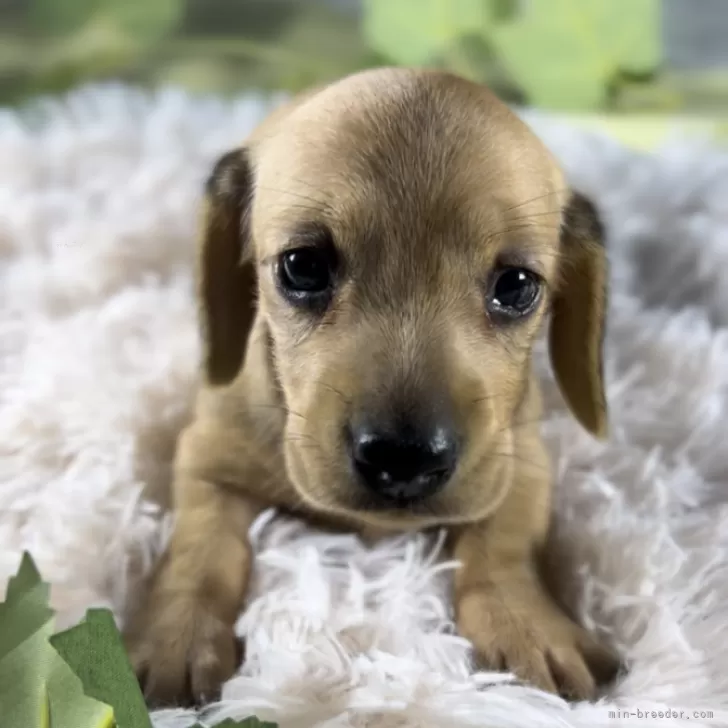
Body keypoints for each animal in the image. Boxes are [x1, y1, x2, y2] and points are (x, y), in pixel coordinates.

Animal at [125, 67, 620, 704]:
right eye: (303, 266)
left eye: (516, 286)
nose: (404, 461)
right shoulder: (208, 456)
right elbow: (201, 547)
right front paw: (177, 635)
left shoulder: (520, 458)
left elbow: (503, 545)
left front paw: (525, 621)